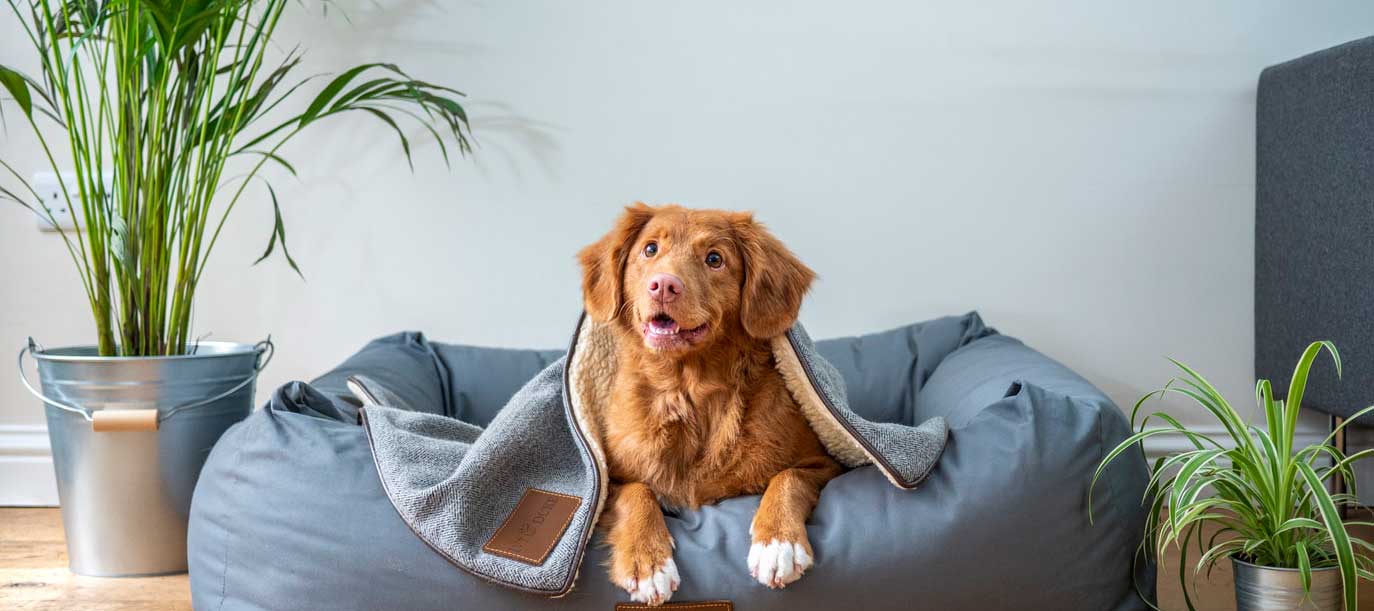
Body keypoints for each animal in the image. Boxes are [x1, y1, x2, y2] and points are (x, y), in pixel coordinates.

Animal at [577, 201, 840, 601]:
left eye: (715, 259)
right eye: (650, 249)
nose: (664, 285)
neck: (688, 392)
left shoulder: (825, 464)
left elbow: (789, 477)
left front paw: (778, 543)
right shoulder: (608, 480)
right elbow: (636, 492)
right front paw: (648, 561)